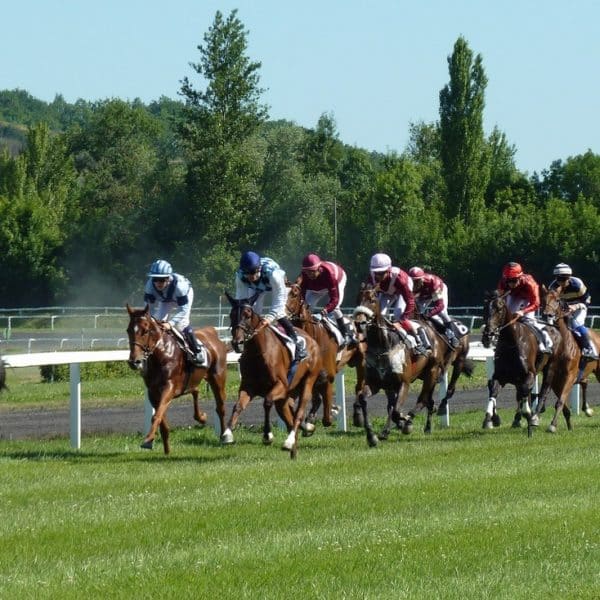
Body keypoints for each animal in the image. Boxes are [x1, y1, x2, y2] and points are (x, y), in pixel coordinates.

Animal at [125, 304, 229, 454]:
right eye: (128, 330)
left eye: (145, 331)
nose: (134, 361)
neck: (162, 354)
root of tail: (212, 333)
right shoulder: (152, 391)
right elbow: (161, 419)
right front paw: (165, 448)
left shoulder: (169, 386)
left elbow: (156, 416)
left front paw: (148, 439)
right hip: (192, 380)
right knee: (195, 390)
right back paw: (201, 417)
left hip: (217, 378)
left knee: (220, 407)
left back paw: (225, 436)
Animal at [220, 292, 324, 460]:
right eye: (231, 315)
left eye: (247, 315)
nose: (237, 342)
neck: (258, 353)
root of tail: (312, 340)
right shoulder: (248, 387)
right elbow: (238, 406)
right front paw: (227, 433)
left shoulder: (280, 385)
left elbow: (267, 402)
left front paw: (267, 435)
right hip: (285, 398)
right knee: (289, 418)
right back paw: (294, 447)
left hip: (307, 383)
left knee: (298, 414)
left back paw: (290, 440)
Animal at [284, 282, 366, 428]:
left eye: (294, 294)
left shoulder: (328, 377)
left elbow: (327, 419)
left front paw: (332, 410)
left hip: (361, 363)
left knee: (359, 388)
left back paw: (357, 416)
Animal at [478, 290, 572, 436]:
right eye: (484, 308)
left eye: (499, 309)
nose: (488, 336)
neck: (512, 342)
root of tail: (554, 327)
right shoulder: (500, 376)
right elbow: (493, 390)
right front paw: (490, 419)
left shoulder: (529, 374)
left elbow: (525, 391)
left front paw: (528, 413)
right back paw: (518, 419)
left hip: (550, 367)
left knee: (544, 389)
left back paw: (535, 417)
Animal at [540, 286, 596, 426]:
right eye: (543, 298)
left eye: (557, 300)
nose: (547, 314)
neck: (562, 346)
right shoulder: (553, 377)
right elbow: (560, 402)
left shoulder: (570, 375)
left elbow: (560, 401)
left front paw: (552, 425)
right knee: (585, 382)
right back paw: (586, 409)